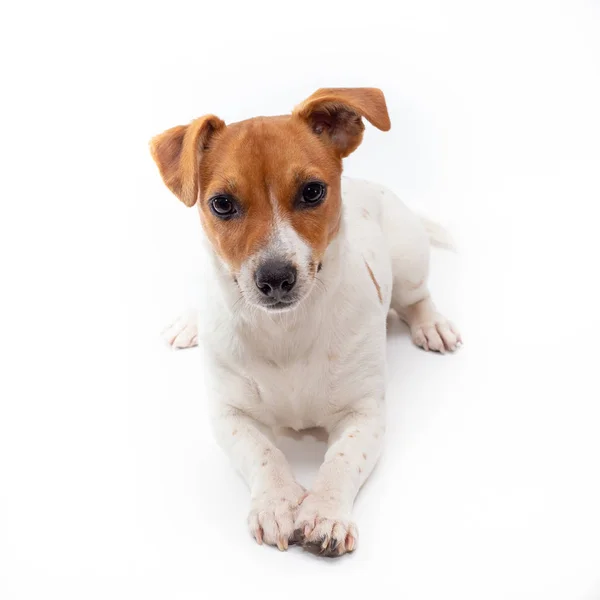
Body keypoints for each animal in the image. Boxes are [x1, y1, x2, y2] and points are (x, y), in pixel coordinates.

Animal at [149, 86, 460, 556]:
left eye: (312, 191)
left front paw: (325, 513)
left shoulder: (364, 413)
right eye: (222, 203)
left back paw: (431, 324)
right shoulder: (230, 415)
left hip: (408, 262)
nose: (276, 277)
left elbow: (341, 461)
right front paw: (276, 502)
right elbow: (264, 454)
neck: (286, 333)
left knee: (417, 296)